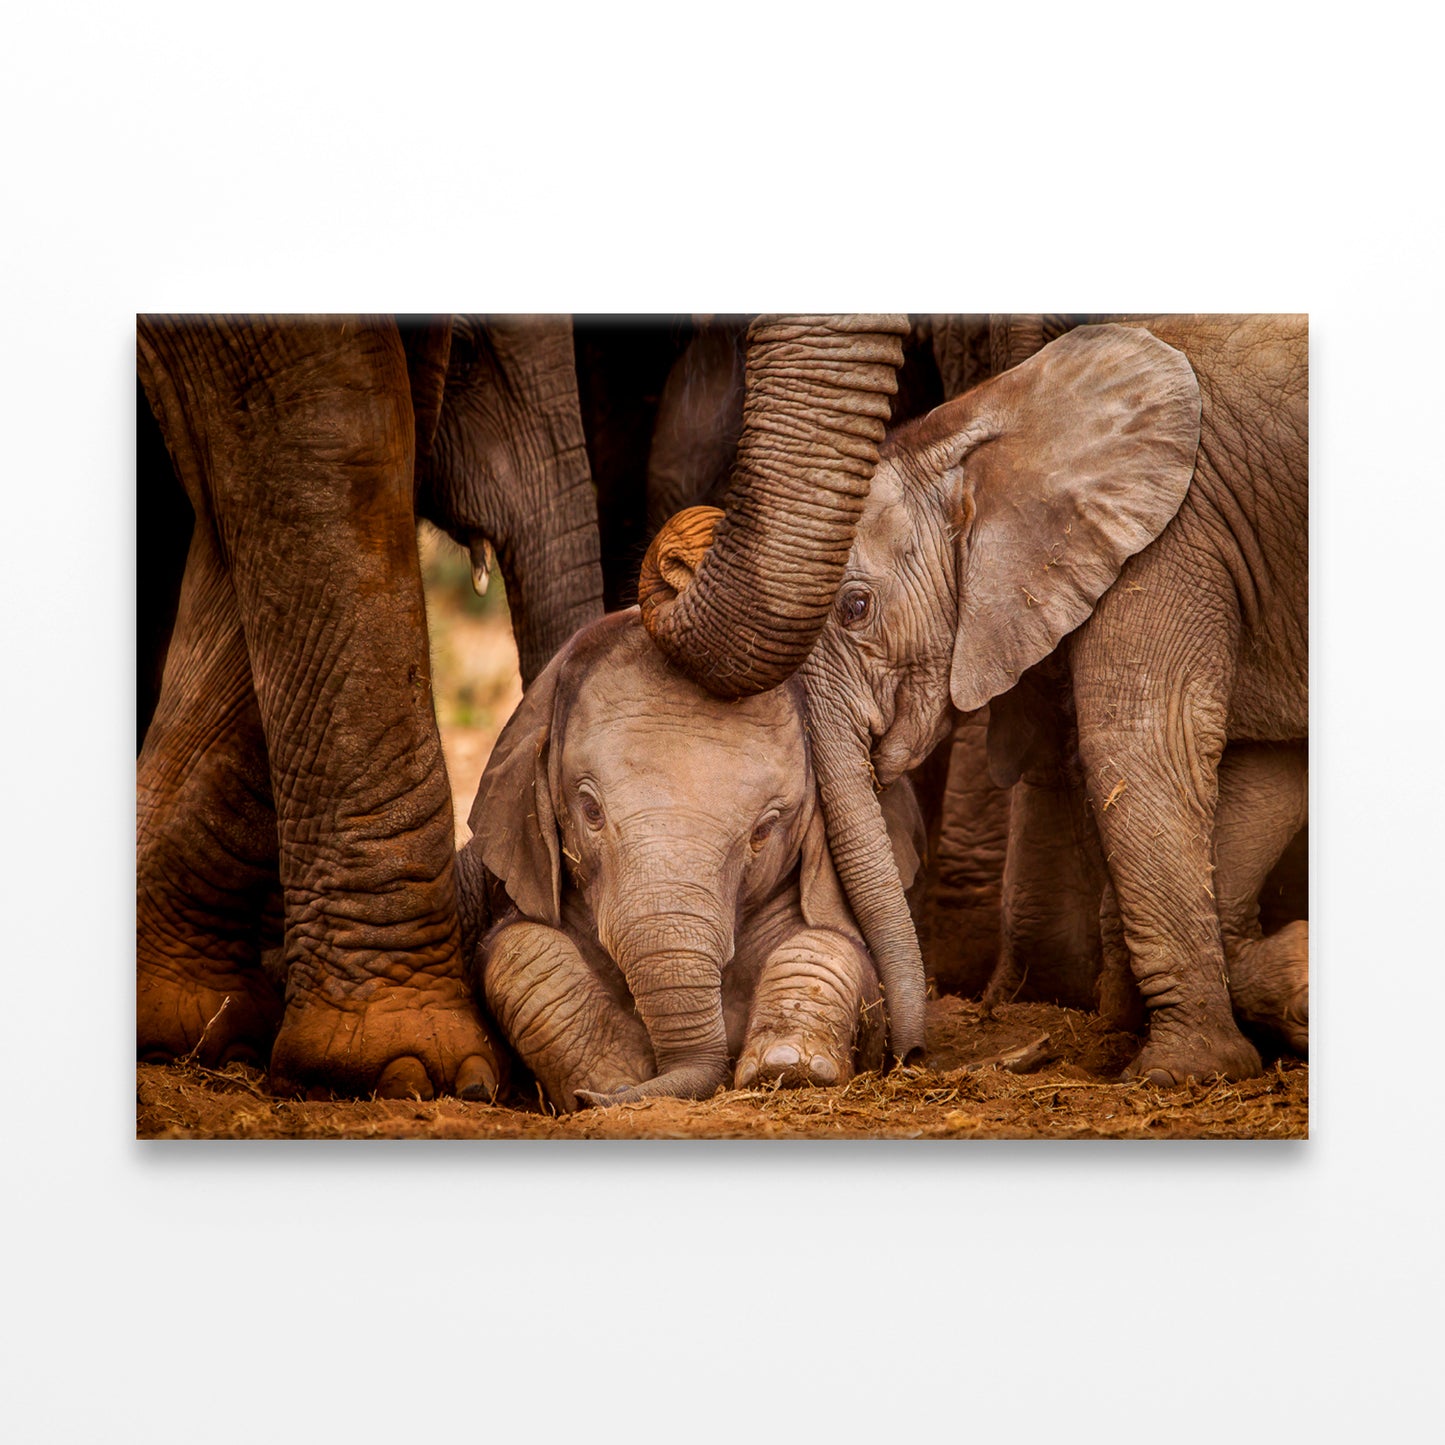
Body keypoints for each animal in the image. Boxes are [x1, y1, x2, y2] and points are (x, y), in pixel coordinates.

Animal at [460, 582, 922, 1112]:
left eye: (764, 830)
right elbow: (519, 946)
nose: (614, 1095)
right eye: (590, 810)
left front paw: (789, 1068)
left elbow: (834, 945)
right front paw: (612, 1080)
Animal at [645, 316, 1308, 1085]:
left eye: (855, 607)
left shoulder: (1180, 529)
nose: (906, 1055)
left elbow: (1144, 742)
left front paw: (1181, 1069)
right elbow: (1264, 773)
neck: (988, 418)